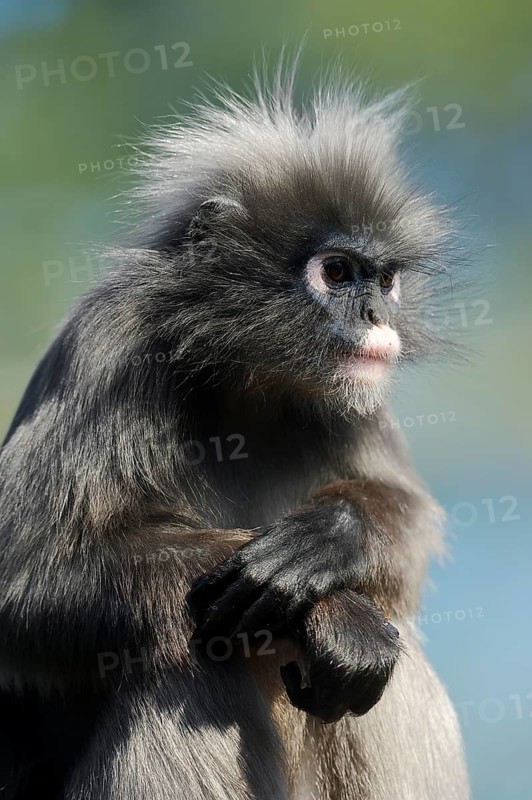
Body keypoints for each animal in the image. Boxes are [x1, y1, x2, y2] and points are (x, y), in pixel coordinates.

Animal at [0, 65, 469, 800]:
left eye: (385, 279)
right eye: (338, 272)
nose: (375, 314)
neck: (251, 380)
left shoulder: (359, 396)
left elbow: (412, 519)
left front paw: (331, 538)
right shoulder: (111, 346)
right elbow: (24, 578)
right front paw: (332, 614)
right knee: (181, 657)